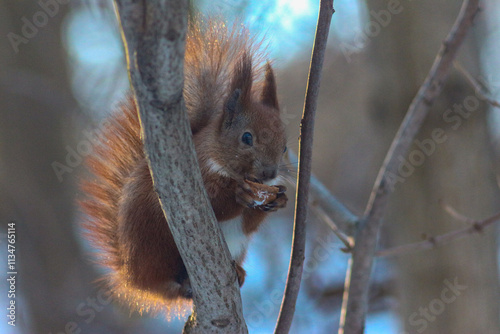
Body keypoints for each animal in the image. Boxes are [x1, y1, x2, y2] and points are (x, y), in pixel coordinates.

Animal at [80, 18, 288, 316]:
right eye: (246, 138)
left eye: (285, 146)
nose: (270, 174)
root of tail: (136, 281)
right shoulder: (194, 176)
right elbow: (214, 205)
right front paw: (238, 195)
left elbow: (249, 224)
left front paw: (278, 200)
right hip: (156, 242)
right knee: (174, 280)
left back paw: (238, 272)